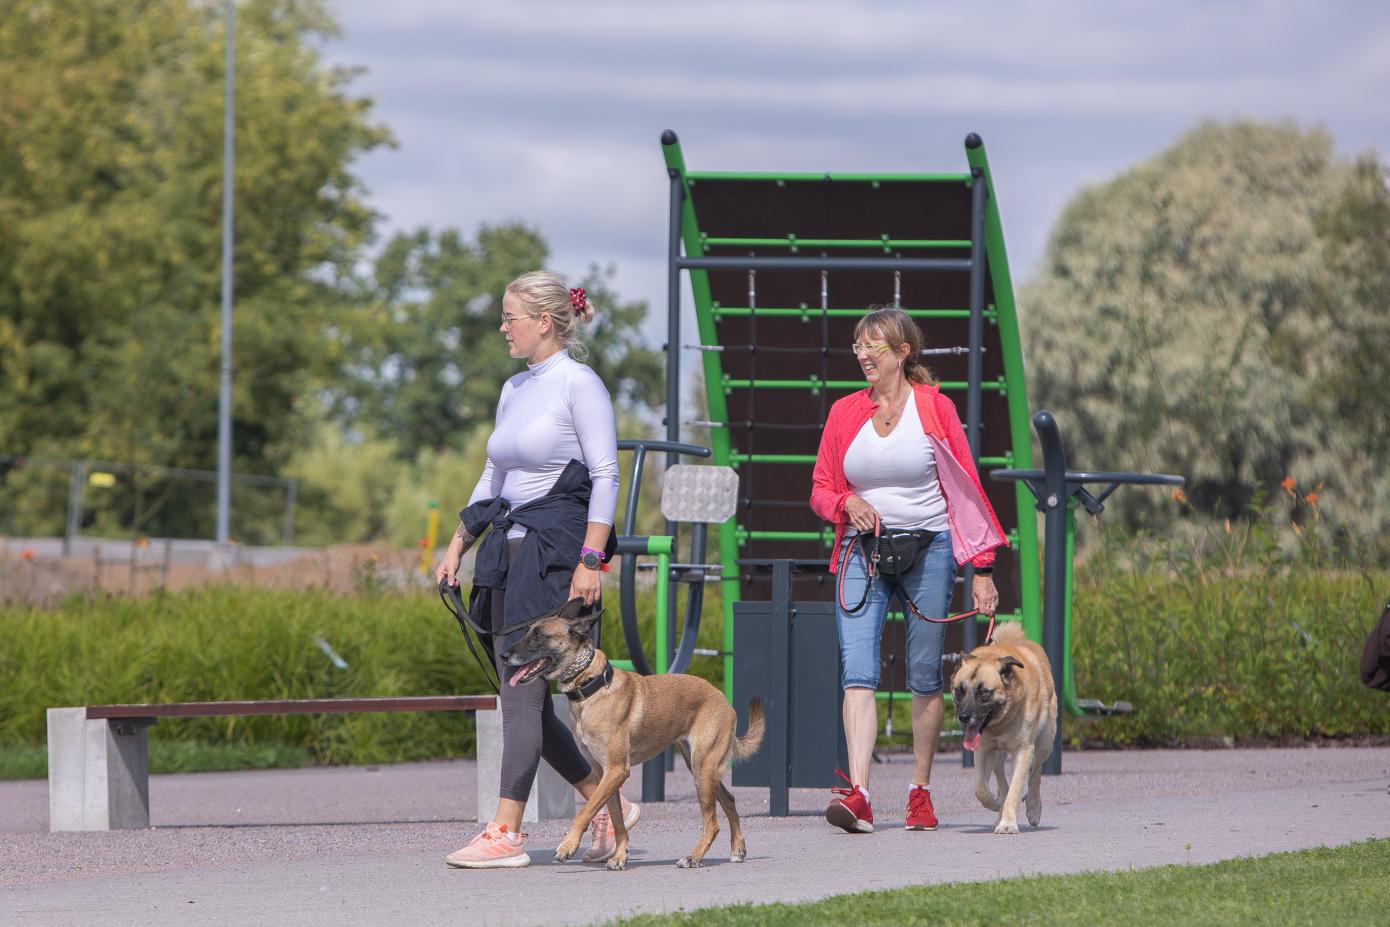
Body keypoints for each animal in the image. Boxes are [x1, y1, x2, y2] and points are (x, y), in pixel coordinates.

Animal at [500, 598, 764, 870]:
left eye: (539, 635)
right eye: (528, 631)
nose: (504, 656)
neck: (590, 686)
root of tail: (722, 698)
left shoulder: (616, 770)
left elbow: (586, 810)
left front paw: (568, 845)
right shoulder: (605, 774)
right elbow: (617, 819)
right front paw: (619, 856)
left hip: (703, 768)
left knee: (712, 822)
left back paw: (694, 857)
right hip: (700, 767)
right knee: (729, 800)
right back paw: (737, 849)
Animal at [951, 622, 1058, 834]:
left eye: (984, 692)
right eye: (959, 690)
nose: (963, 717)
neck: (1002, 721)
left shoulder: (1024, 751)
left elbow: (1017, 788)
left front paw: (1008, 823)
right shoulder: (983, 749)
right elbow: (981, 788)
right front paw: (995, 805)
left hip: (1044, 744)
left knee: (1035, 775)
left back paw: (1033, 808)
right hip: (997, 757)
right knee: (1002, 781)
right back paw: (999, 807)